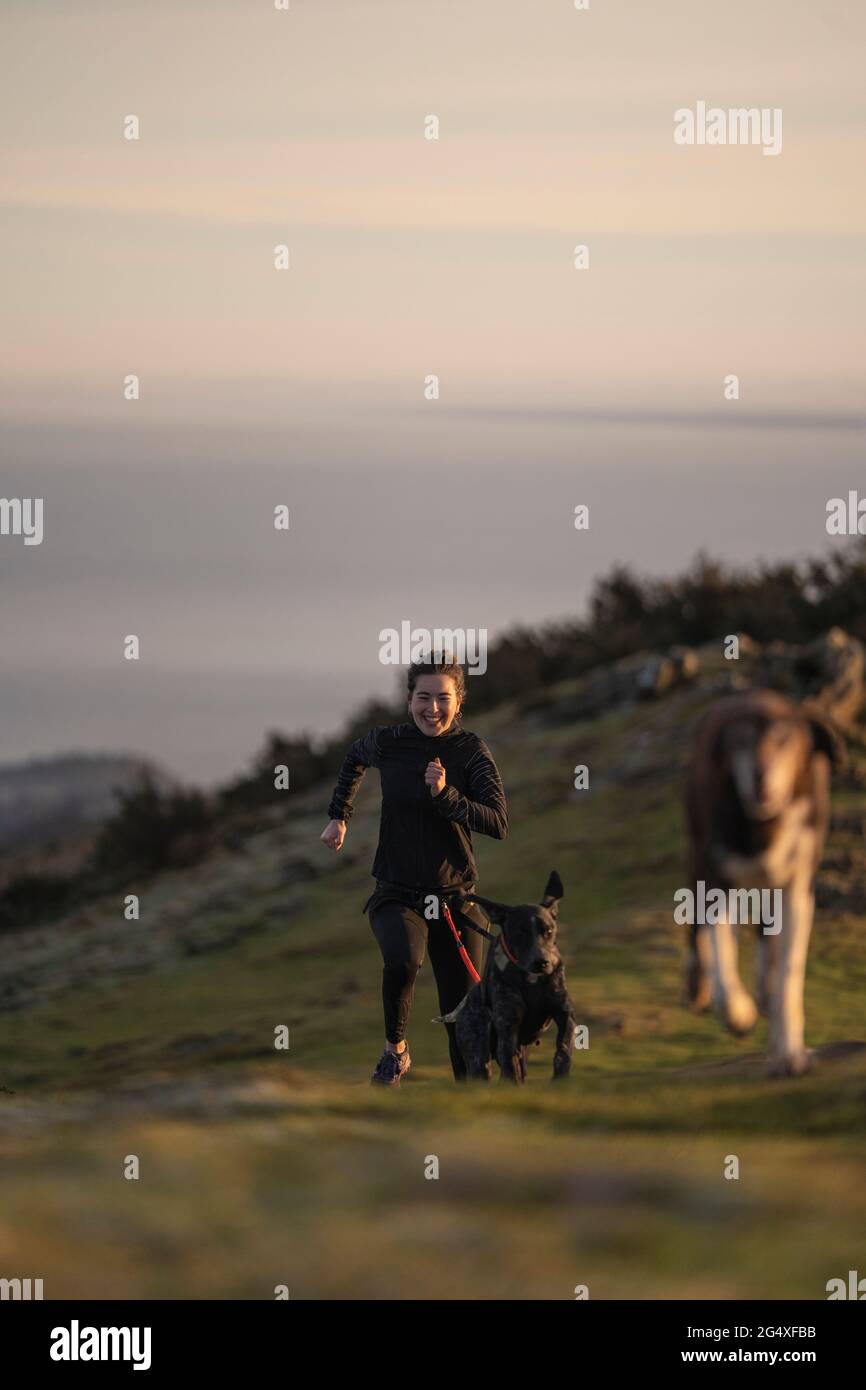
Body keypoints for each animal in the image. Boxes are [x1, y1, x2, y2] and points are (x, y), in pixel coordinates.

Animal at [433, 867, 575, 1084]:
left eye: (549, 930)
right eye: (520, 932)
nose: (541, 962)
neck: (531, 982)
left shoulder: (565, 1014)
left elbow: (564, 1049)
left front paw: (561, 1076)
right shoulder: (508, 1026)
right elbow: (510, 1064)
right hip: (477, 1052)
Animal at [686, 689, 845, 1078]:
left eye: (785, 738)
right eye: (740, 741)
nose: (760, 774)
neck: (763, 826)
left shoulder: (798, 887)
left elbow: (788, 974)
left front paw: (789, 1053)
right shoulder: (715, 875)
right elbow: (723, 953)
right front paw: (737, 1011)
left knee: (764, 941)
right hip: (697, 851)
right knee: (701, 935)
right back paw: (704, 988)